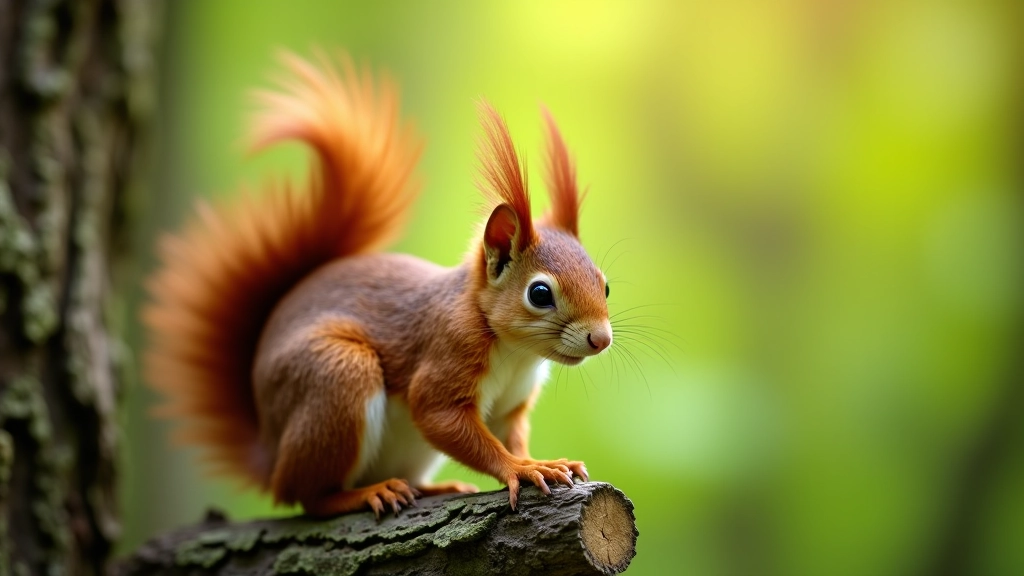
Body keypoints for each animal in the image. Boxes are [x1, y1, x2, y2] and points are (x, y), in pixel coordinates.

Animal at [143, 52, 613, 518]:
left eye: (605, 285)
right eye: (539, 294)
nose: (602, 339)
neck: (515, 352)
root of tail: (270, 452)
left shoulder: (510, 404)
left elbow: (508, 433)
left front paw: (542, 460)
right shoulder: (447, 352)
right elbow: (443, 418)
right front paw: (520, 468)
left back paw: (430, 488)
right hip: (336, 378)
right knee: (307, 496)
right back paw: (366, 493)